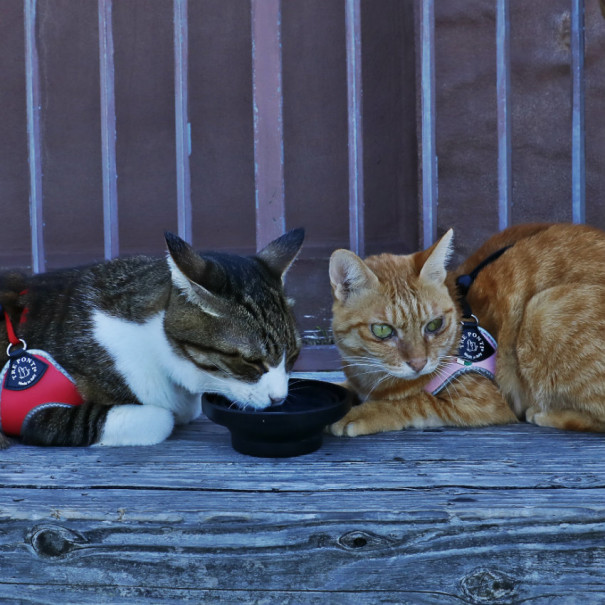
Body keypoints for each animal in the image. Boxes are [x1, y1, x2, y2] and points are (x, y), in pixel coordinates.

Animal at [328, 222, 605, 434]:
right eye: (383, 331)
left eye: (434, 325)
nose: (418, 363)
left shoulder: (484, 401)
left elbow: (414, 402)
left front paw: (362, 413)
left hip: (542, 310)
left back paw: (547, 413)